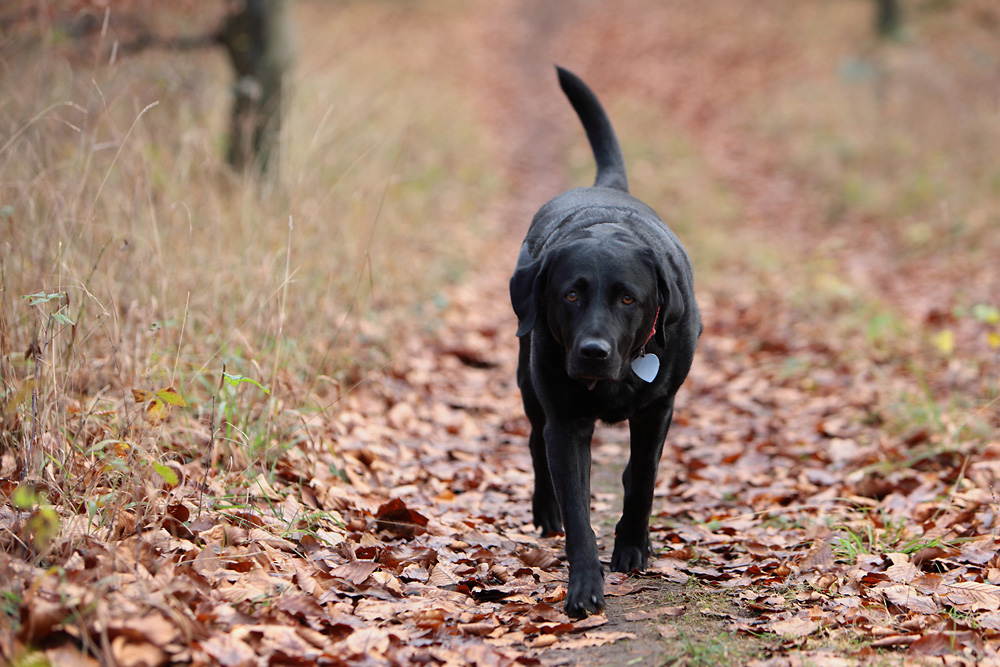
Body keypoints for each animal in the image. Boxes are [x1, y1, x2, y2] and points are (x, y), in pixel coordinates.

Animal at [512, 66, 700, 616]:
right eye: (571, 294)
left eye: (628, 298)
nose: (593, 352)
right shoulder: (567, 422)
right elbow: (578, 509)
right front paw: (584, 585)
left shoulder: (658, 408)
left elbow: (642, 481)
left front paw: (633, 548)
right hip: (529, 384)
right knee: (536, 442)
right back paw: (546, 509)